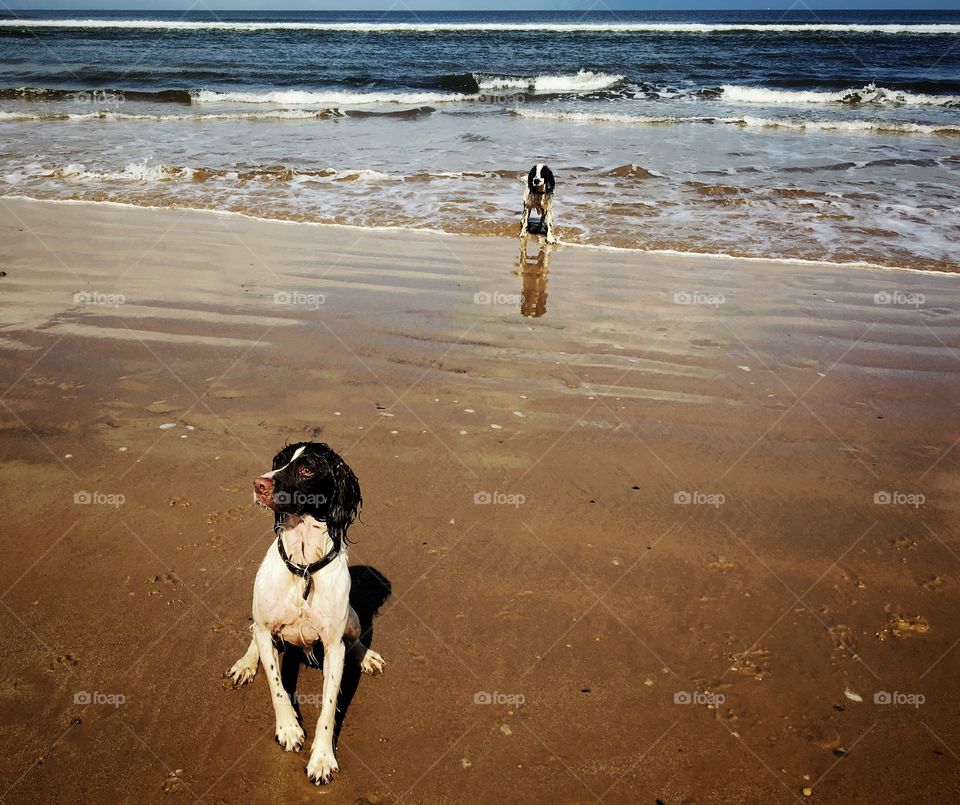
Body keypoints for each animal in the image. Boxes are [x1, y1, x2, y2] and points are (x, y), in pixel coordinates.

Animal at [227, 440, 384, 784]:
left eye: (307, 469)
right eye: (279, 462)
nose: (259, 484)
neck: (304, 567)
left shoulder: (333, 647)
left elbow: (328, 706)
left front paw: (323, 758)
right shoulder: (266, 629)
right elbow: (277, 687)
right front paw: (289, 728)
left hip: (352, 618)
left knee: (355, 640)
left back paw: (367, 656)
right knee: (254, 639)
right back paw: (246, 663)